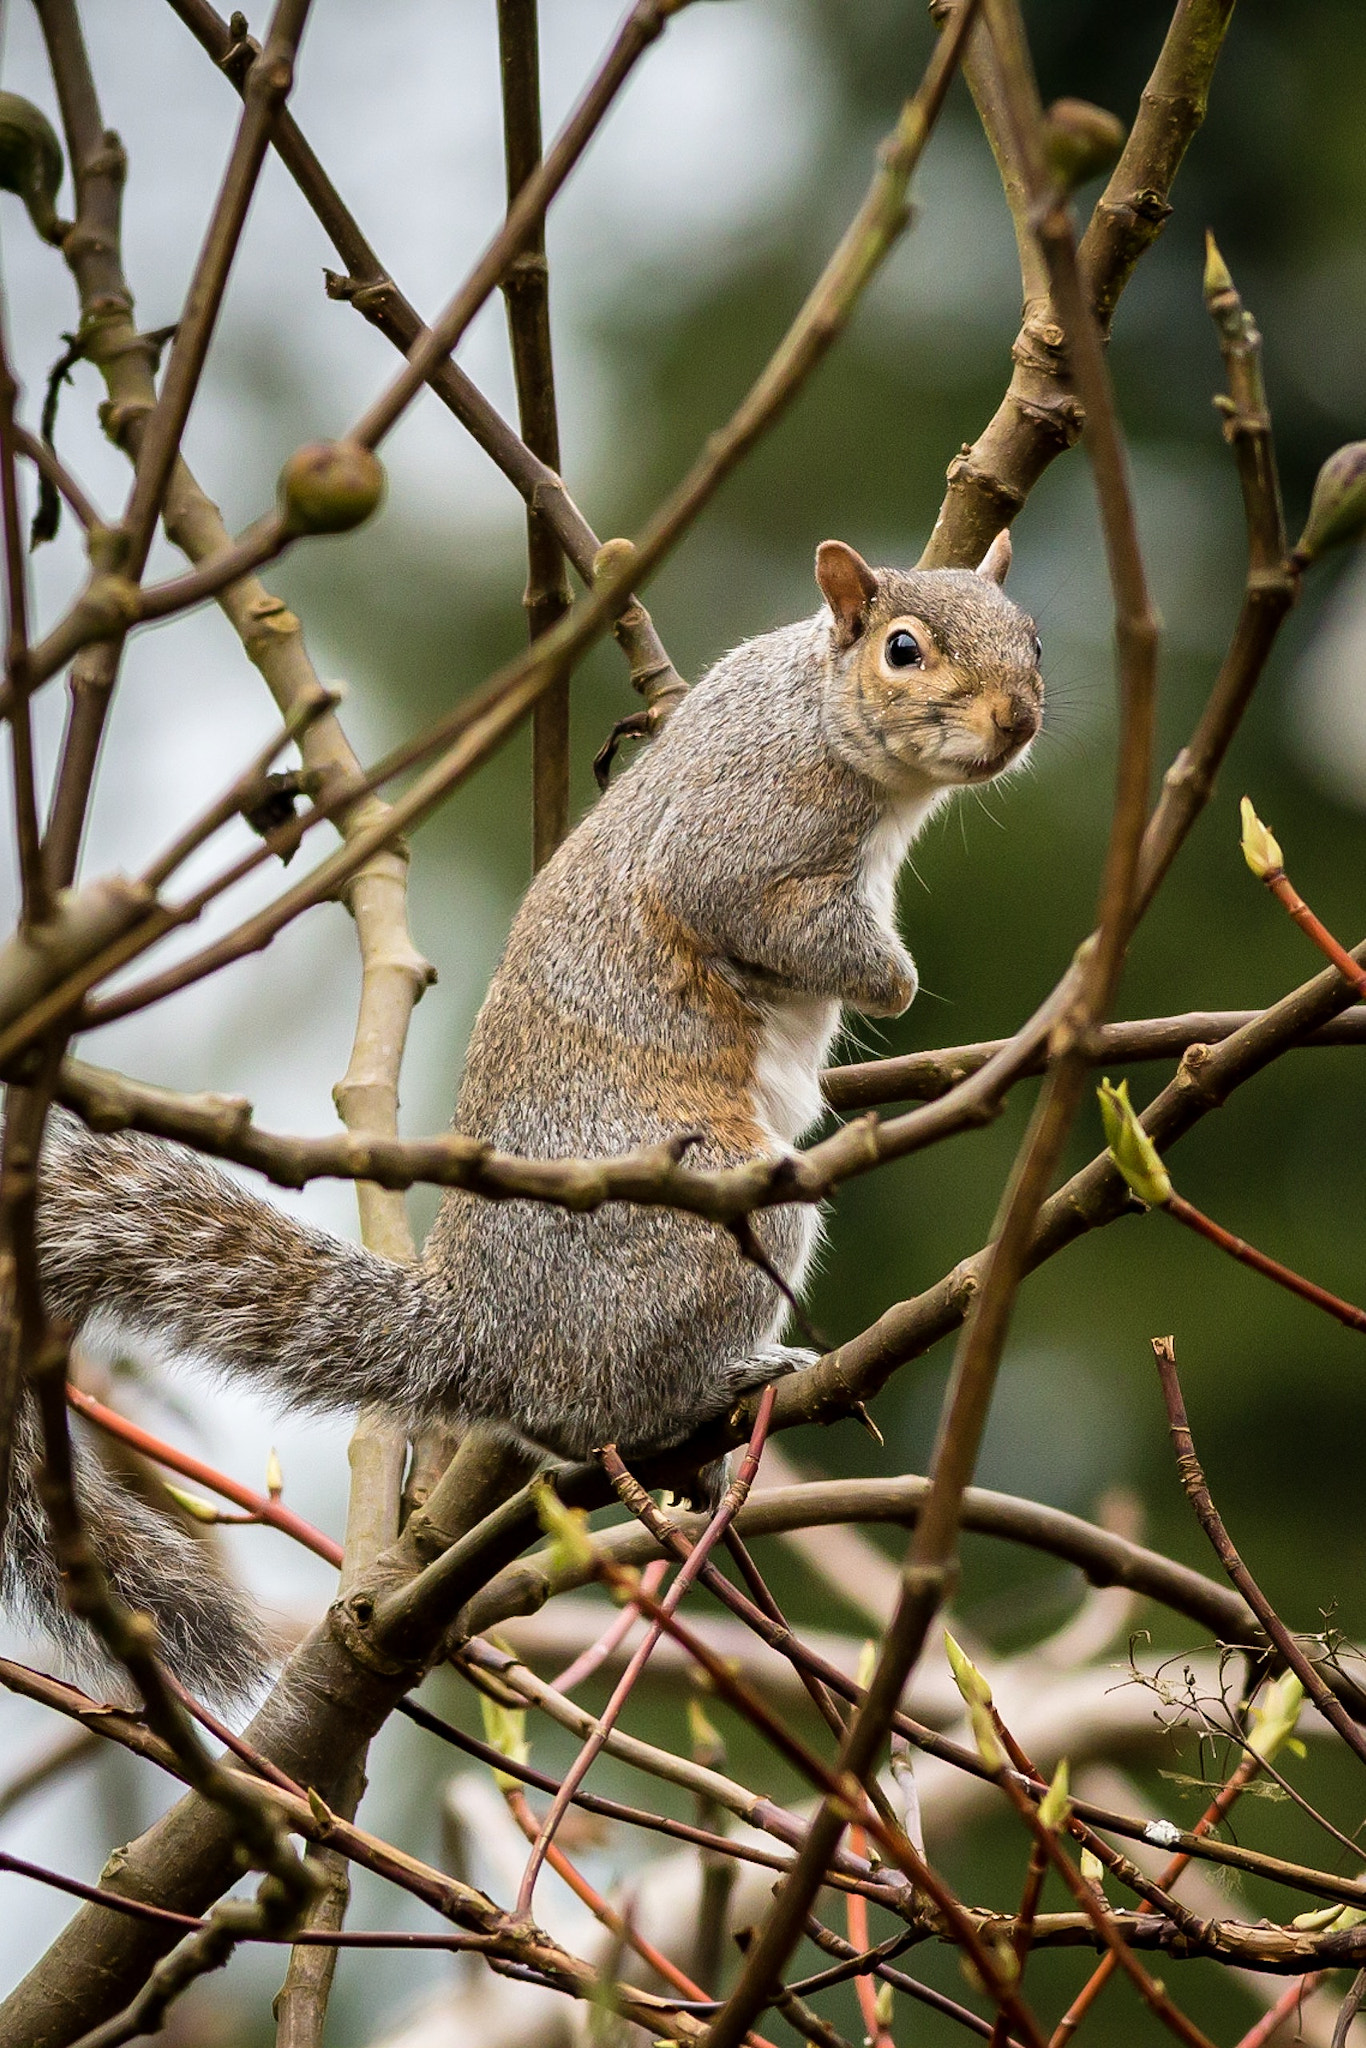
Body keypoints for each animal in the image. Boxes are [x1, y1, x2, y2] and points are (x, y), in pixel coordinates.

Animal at [13, 528, 1048, 1695]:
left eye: (1033, 638)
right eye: (904, 649)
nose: (1017, 719)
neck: (819, 708)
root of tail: (487, 1331)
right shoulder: (748, 829)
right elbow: (759, 913)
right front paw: (892, 986)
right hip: (716, 1212)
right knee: (598, 1403)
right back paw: (727, 1380)